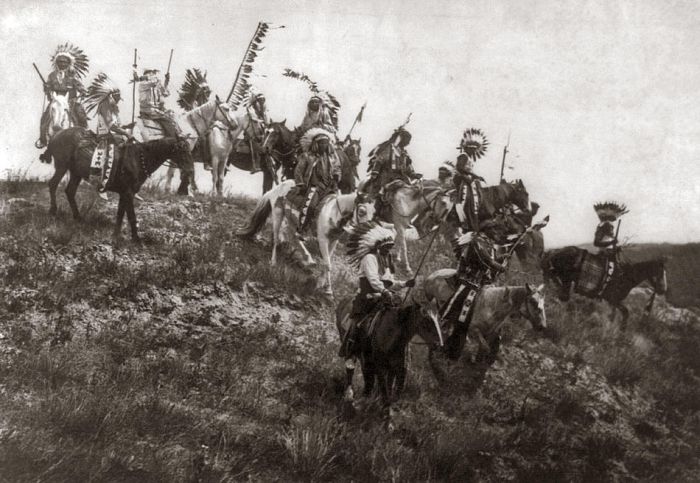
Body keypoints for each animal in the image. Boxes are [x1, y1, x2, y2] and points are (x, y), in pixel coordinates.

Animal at [44, 127, 192, 241]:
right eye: (182, 149)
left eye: (189, 150)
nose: (190, 170)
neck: (138, 159)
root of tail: (56, 135)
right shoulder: (128, 193)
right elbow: (131, 216)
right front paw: (136, 239)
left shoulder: (124, 193)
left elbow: (121, 214)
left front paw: (116, 235)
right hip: (62, 166)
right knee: (53, 184)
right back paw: (52, 210)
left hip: (76, 173)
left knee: (70, 191)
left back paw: (78, 217)